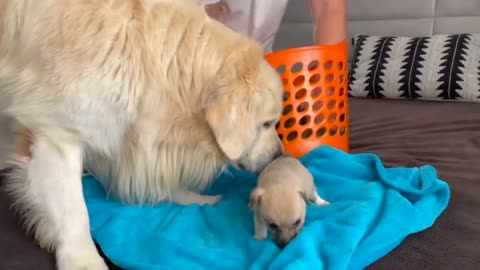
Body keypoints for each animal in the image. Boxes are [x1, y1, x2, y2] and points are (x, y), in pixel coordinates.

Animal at [0, 1, 284, 268]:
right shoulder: (57, 135)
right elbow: (73, 210)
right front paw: (83, 260)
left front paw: (195, 199)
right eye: (267, 124)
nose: (278, 156)